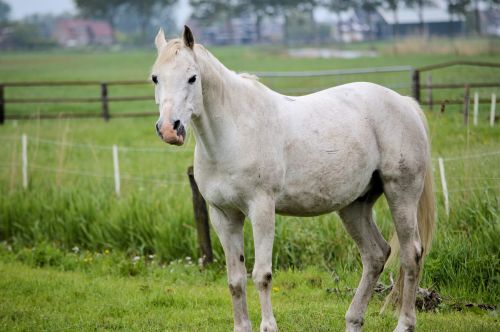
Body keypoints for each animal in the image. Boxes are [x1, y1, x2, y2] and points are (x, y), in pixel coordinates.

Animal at [151, 26, 434, 332]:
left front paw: (268, 327)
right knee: (376, 255)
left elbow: (261, 275)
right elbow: (235, 280)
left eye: (192, 77)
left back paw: (404, 324)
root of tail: (405, 104)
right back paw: (353, 320)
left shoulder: (261, 209)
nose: (169, 129)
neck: (234, 132)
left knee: (411, 254)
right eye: (155, 77)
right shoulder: (224, 216)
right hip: (354, 206)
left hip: (401, 194)